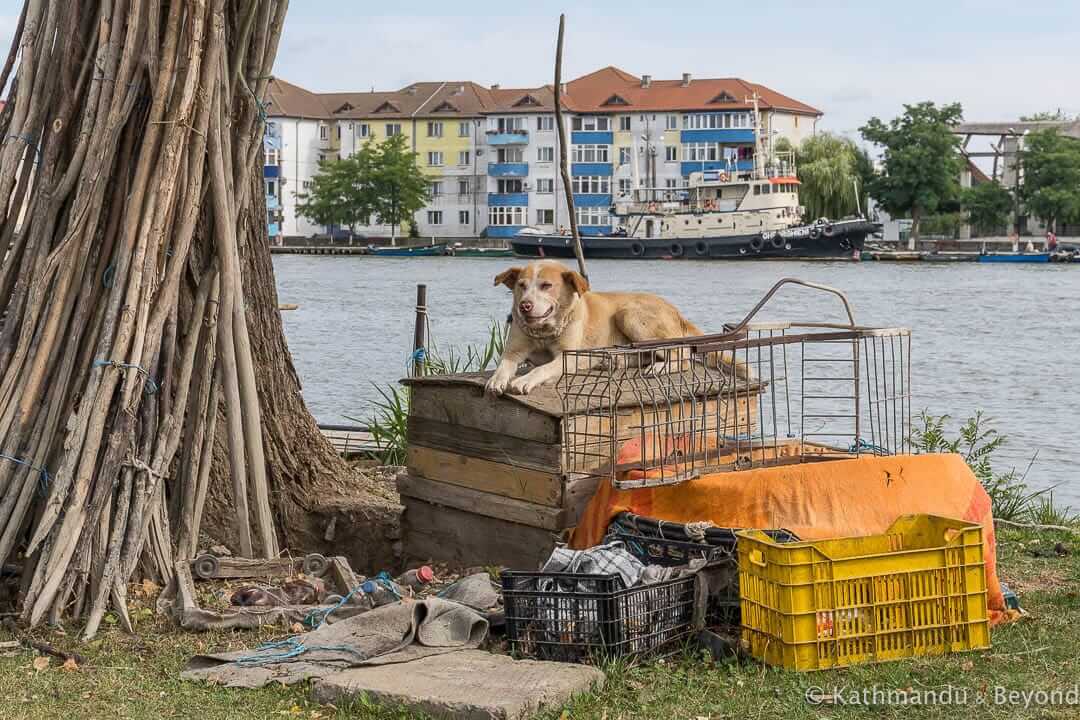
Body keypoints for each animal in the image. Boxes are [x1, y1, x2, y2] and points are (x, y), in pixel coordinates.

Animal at [486, 260, 747, 397]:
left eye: (546, 285)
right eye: (521, 285)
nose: (524, 306)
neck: (544, 331)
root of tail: (675, 310)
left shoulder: (567, 357)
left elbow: (543, 368)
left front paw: (524, 380)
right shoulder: (513, 350)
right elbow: (504, 365)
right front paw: (496, 380)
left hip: (629, 314)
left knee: (683, 356)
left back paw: (659, 368)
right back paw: (614, 361)